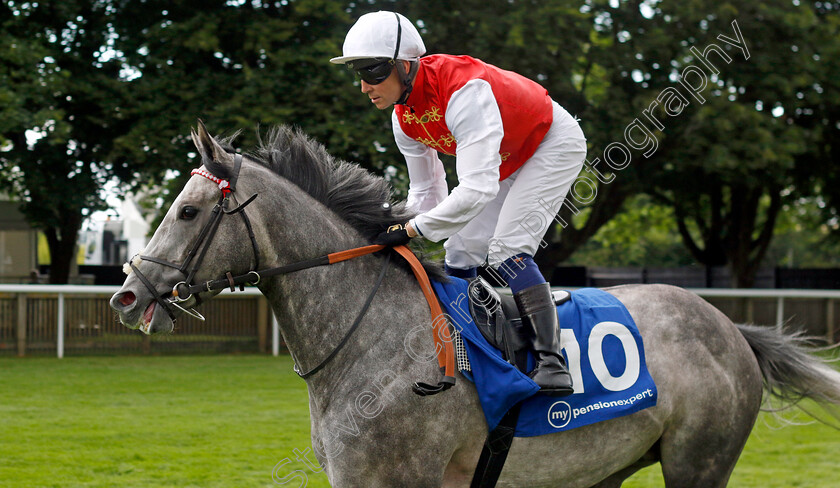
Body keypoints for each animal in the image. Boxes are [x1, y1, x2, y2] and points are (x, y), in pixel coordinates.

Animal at [111, 123, 840, 488]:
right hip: (605, 468)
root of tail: (730, 327)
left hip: (699, 464)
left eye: (188, 210)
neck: (369, 339)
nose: (128, 292)